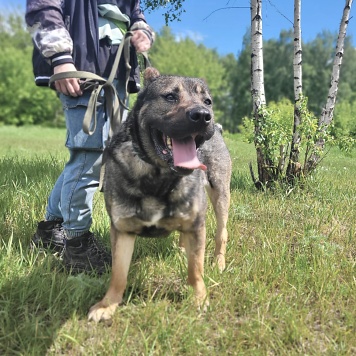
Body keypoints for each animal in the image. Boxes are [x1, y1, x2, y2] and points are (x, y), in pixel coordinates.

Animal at [88, 67, 232, 322]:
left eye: (208, 101)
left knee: (220, 233)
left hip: (221, 195)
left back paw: (219, 262)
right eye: (170, 97)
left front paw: (199, 298)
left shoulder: (197, 225)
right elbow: (118, 274)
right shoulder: (122, 229)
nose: (203, 115)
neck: (158, 174)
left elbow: (196, 268)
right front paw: (107, 305)